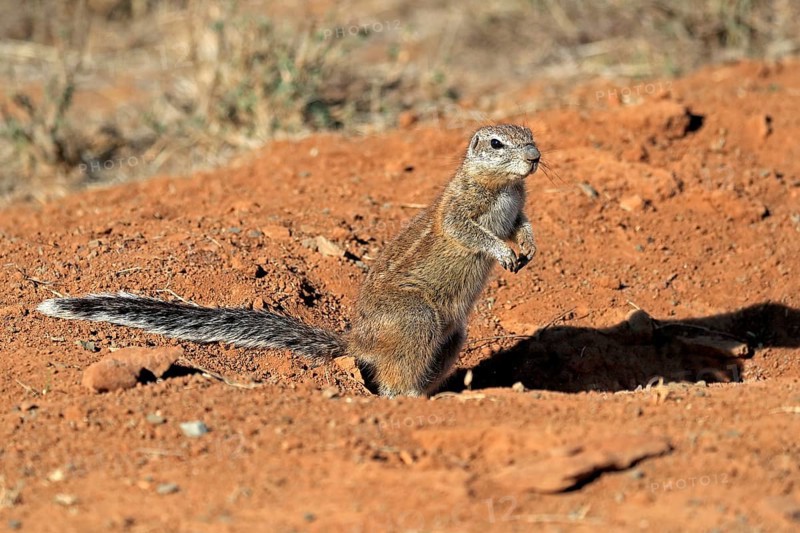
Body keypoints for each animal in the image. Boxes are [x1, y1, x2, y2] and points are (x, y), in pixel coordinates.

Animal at [38, 124, 541, 397]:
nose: (536, 157)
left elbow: (522, 225)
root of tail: (358, 342)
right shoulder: (458, 212)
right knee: (393, 380)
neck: (503, 187)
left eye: (532, 136)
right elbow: (468, 232)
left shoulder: (517, 208)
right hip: (417, 320)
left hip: (453, 335)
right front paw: (503, 251)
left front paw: (528, 247)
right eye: (497, 144)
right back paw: (413, 397)